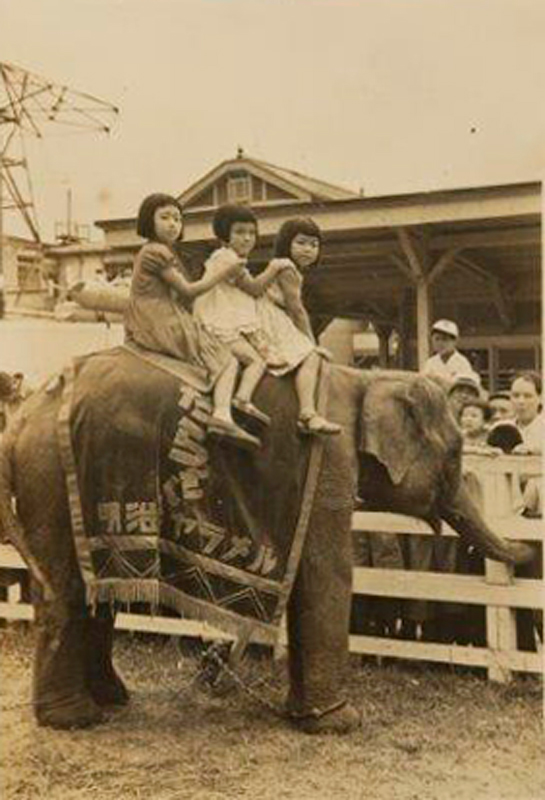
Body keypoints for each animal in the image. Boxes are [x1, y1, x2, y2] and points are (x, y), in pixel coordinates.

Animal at [0, 354, 532, 736]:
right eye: (456, 453)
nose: (529, 557)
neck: (365, 376)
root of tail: (21, 418)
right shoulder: (330, 459)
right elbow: (326, 571)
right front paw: (340, 723)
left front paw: (301, 715)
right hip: (54, 477)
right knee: (66, 591)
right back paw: (75, 719)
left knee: (96, 595)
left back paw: (113, 699)